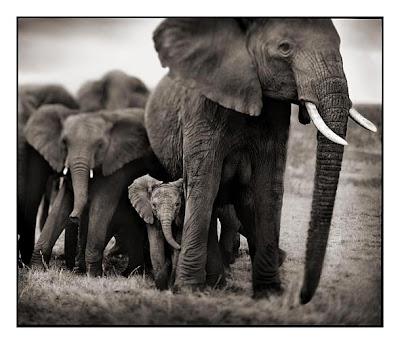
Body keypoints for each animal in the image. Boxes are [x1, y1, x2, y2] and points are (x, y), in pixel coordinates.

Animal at [23, 106, 159, 276]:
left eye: (100, 145)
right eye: (64, 142)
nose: (74, 217)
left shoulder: (115, 164)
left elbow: (101, 204)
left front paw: (94, 275)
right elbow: (61, 205)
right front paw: (36, 268)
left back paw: (131, 273)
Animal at [145, 18, 376, 304]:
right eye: (284, 48)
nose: (302, 296)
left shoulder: (276, 115)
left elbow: (268, 187)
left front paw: (269, 292)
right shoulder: (199, 108)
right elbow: (204, 184)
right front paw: (189, 290)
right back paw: (216, 283)